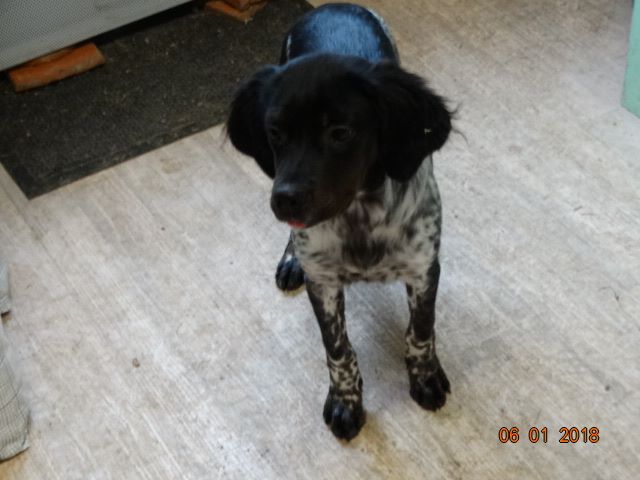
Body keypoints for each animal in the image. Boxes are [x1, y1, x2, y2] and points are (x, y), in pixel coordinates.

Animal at [227, 3, 453, 440]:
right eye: (275, 133)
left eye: (340, 132)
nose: (284, 199)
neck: (359, 219)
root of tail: (335, 6)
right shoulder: (324, 283)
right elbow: (338, 349)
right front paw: (346, 402)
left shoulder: (423, 268)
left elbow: (421, 330)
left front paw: (425, 377)